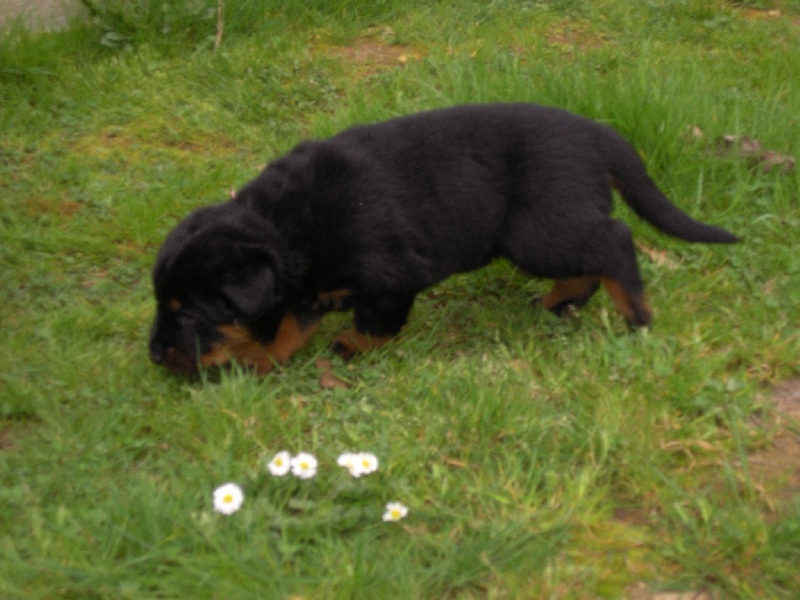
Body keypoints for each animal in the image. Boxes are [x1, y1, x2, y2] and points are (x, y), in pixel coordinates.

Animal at [150, 103, 736, 376]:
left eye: (187, 314)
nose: (156, 357)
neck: (286, 227)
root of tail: (599, 134)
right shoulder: (303, 290)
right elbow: (288, 328)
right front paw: (261, 361)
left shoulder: (388, 277)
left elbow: (375, 324)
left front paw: (351, 347)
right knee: (591, 262)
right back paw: (561, 304)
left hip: (537, 231)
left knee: (615, 242)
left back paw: (636, 314)